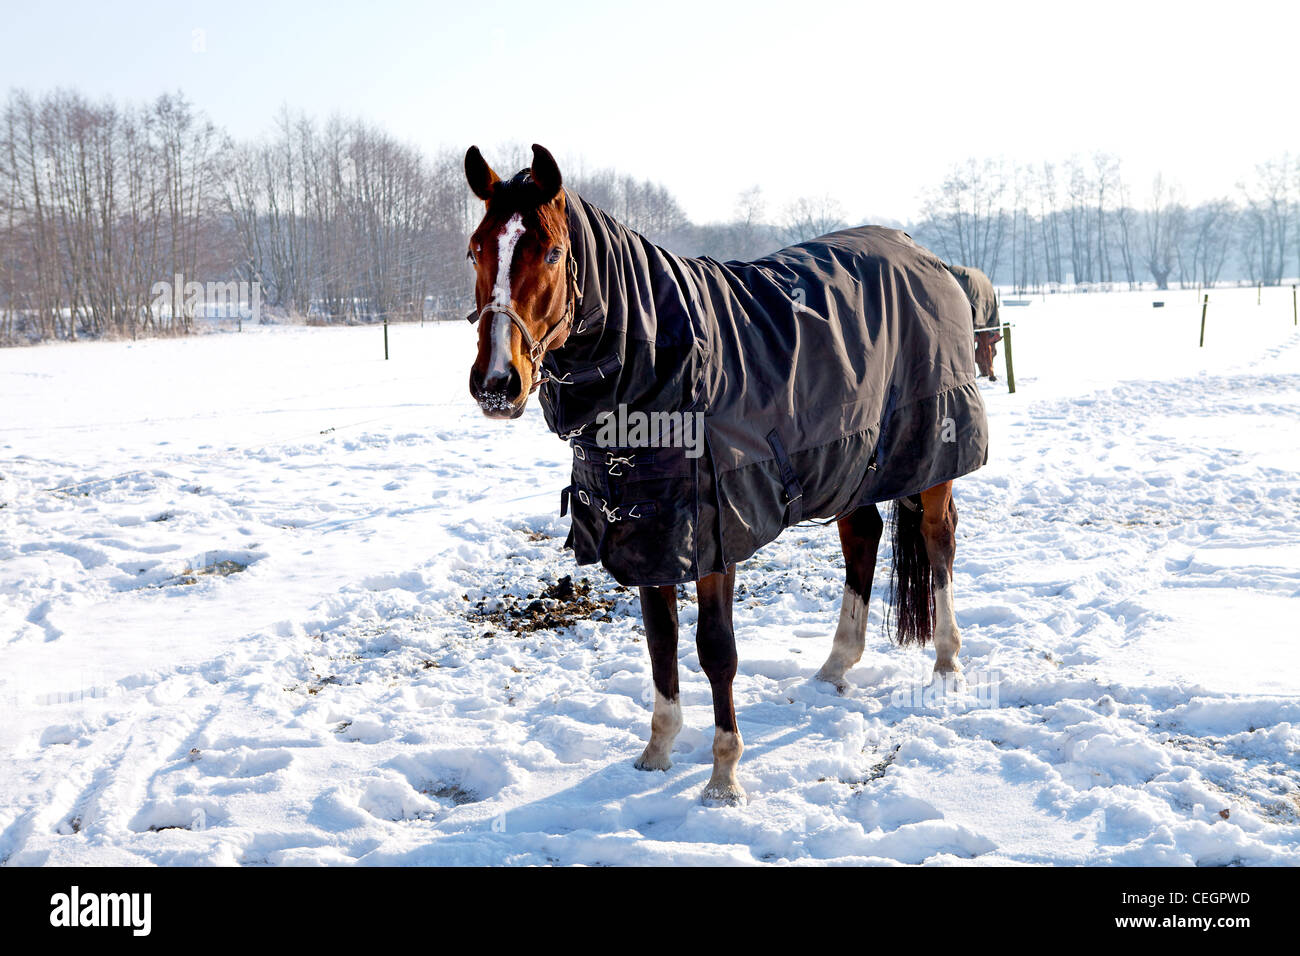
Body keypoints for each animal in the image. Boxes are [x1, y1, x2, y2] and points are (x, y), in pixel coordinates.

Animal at [464, 144, 988, 807]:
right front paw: (657, 752)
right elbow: (660, 641)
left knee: (938, 541)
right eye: (475, 249)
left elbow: (716, 651)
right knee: (863, 536)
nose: (497, 383)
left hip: (931, 454)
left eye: (553, 252)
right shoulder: (651, 532)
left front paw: (723, 778)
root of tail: (925, 254)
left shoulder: (714, 532)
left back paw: (946, 664)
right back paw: (836, 665)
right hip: (853, 457)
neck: (657, 365)